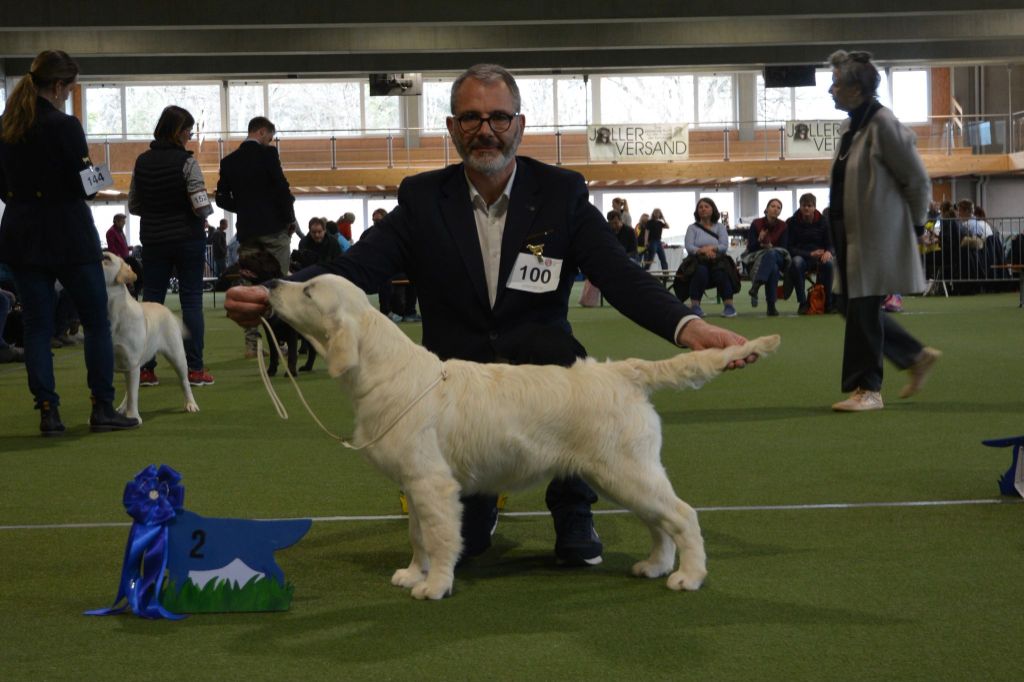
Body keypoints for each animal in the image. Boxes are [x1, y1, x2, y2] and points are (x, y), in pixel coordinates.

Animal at [101, 249, 199, 419]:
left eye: (106, 258)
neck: (112, 313)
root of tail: (166, 309)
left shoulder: (131, 362)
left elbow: (133, 394)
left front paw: (133, 417)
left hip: (177, 355)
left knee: (184, 381)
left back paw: (190, 404)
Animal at [268, 274, 778, 598]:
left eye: (308, 290)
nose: (271, 284)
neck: (386, 370)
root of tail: (625, 372)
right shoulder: (413, 484)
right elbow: (417, 535)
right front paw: (413, 574)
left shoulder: (433, 484)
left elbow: (439, 536)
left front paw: (434, 586)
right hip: (625, 476)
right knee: (660, 522)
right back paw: (654, 566)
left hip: (627, 472)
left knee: (683, 515)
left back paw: (689, 576)